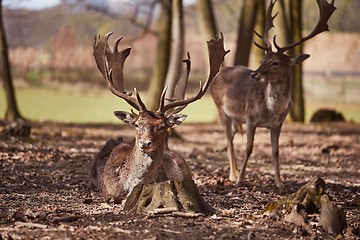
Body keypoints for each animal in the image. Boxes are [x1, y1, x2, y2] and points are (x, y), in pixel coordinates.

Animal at [210, 0, 336, 190]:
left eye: (275, 62)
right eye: (262, 60)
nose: (254, 74)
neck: (271, 110)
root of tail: (216, 75)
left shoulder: (278, 124)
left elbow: (275, 151)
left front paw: (279, 183)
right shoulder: (250, 118)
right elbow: (249, 148)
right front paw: (240, 180)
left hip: (235, 117)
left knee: (231, 136)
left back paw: (235, 170)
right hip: (220, 109)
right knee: (228, 139)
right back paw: (233, 175)